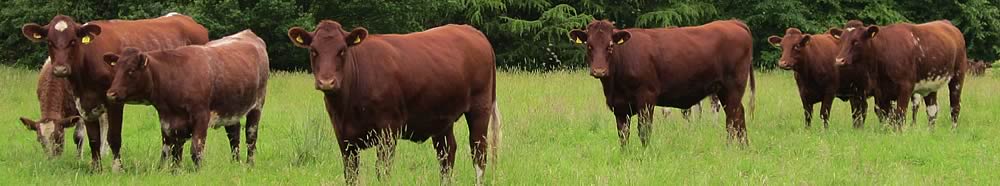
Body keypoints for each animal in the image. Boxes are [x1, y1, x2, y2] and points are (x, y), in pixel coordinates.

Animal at [21, 12, 210, 171]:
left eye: (73, 41)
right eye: (49, 42)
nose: (60, 69)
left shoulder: (114, 100)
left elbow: (113, 136)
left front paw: (117, 168)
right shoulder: (83, 103)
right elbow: (93, 138)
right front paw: (96, 168)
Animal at [103, 30, 268, 167]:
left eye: (131, 71)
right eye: (115, 69)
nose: (111, 93)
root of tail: (248, 33)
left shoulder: (201, 117)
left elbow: (195, 151)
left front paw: (197, 171)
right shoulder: (169, 122)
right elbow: (170, 152)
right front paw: (174, 171)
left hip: (257, 106)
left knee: (251, 137)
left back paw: (249, 164)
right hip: (231, 110)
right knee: (234, 136)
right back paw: (235, 163)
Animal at [288, 20, 504, 185]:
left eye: (342, 51)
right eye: (313, 51)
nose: (327, 81)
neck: (346, 107)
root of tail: (473, 31)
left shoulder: (388, 130)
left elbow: (382, 172)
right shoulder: (343, 137)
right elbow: (350, 174)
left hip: (480, 108)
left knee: (478, 153)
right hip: (442, 118)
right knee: (447, 153)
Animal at [568, 20, 752, 145]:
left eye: (610, 45)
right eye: (589, 45)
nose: (599, 71)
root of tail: (733, 22)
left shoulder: (646, 98)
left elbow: (644, 131)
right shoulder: (619, 106)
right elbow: (623, 134)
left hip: (733, 87)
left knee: (734, 118)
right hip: (723, 90)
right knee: (736, 117)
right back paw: (739, 147)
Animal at [828, 19, 968, 129]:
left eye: (856, 41)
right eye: (841, 41)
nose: (839, 60)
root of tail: (948, 24)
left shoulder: (905, 87)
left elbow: (899, 115)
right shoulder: (881, 92)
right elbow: (886, 115)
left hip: (958, 77)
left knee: (955, 107)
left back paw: (953, 130)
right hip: (930, 84)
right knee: (932, 110)